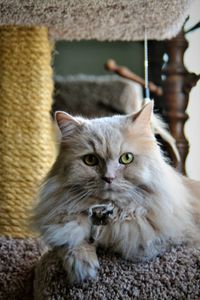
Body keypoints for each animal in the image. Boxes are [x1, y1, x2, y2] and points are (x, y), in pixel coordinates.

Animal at [32, 102, 200, 282]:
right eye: (90, 160)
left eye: (126, 158)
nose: (109, 178)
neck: (106, 213)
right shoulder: (60, 226)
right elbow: (70, 240)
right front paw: (83, 268)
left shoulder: (176, 233)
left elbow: (140, 240)